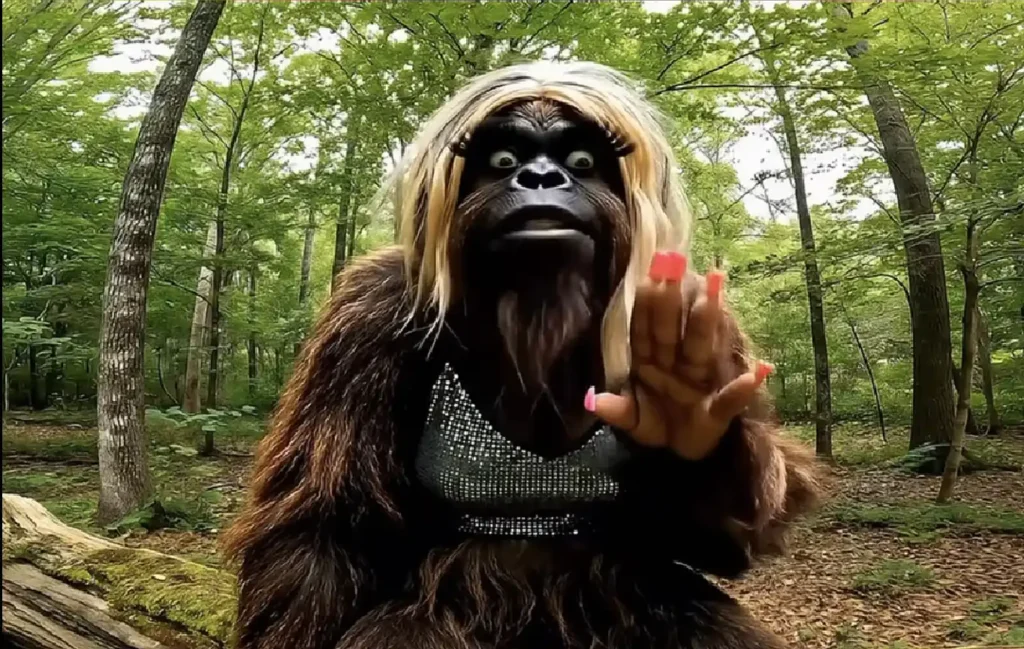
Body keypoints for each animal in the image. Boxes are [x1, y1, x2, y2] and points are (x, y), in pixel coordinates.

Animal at [222, 61, 821, 649]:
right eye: (504, 160)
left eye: (581, 162)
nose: (540, 178)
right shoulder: (369, 313)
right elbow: (325, 528)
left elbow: (717, 543)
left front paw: (684, 415)